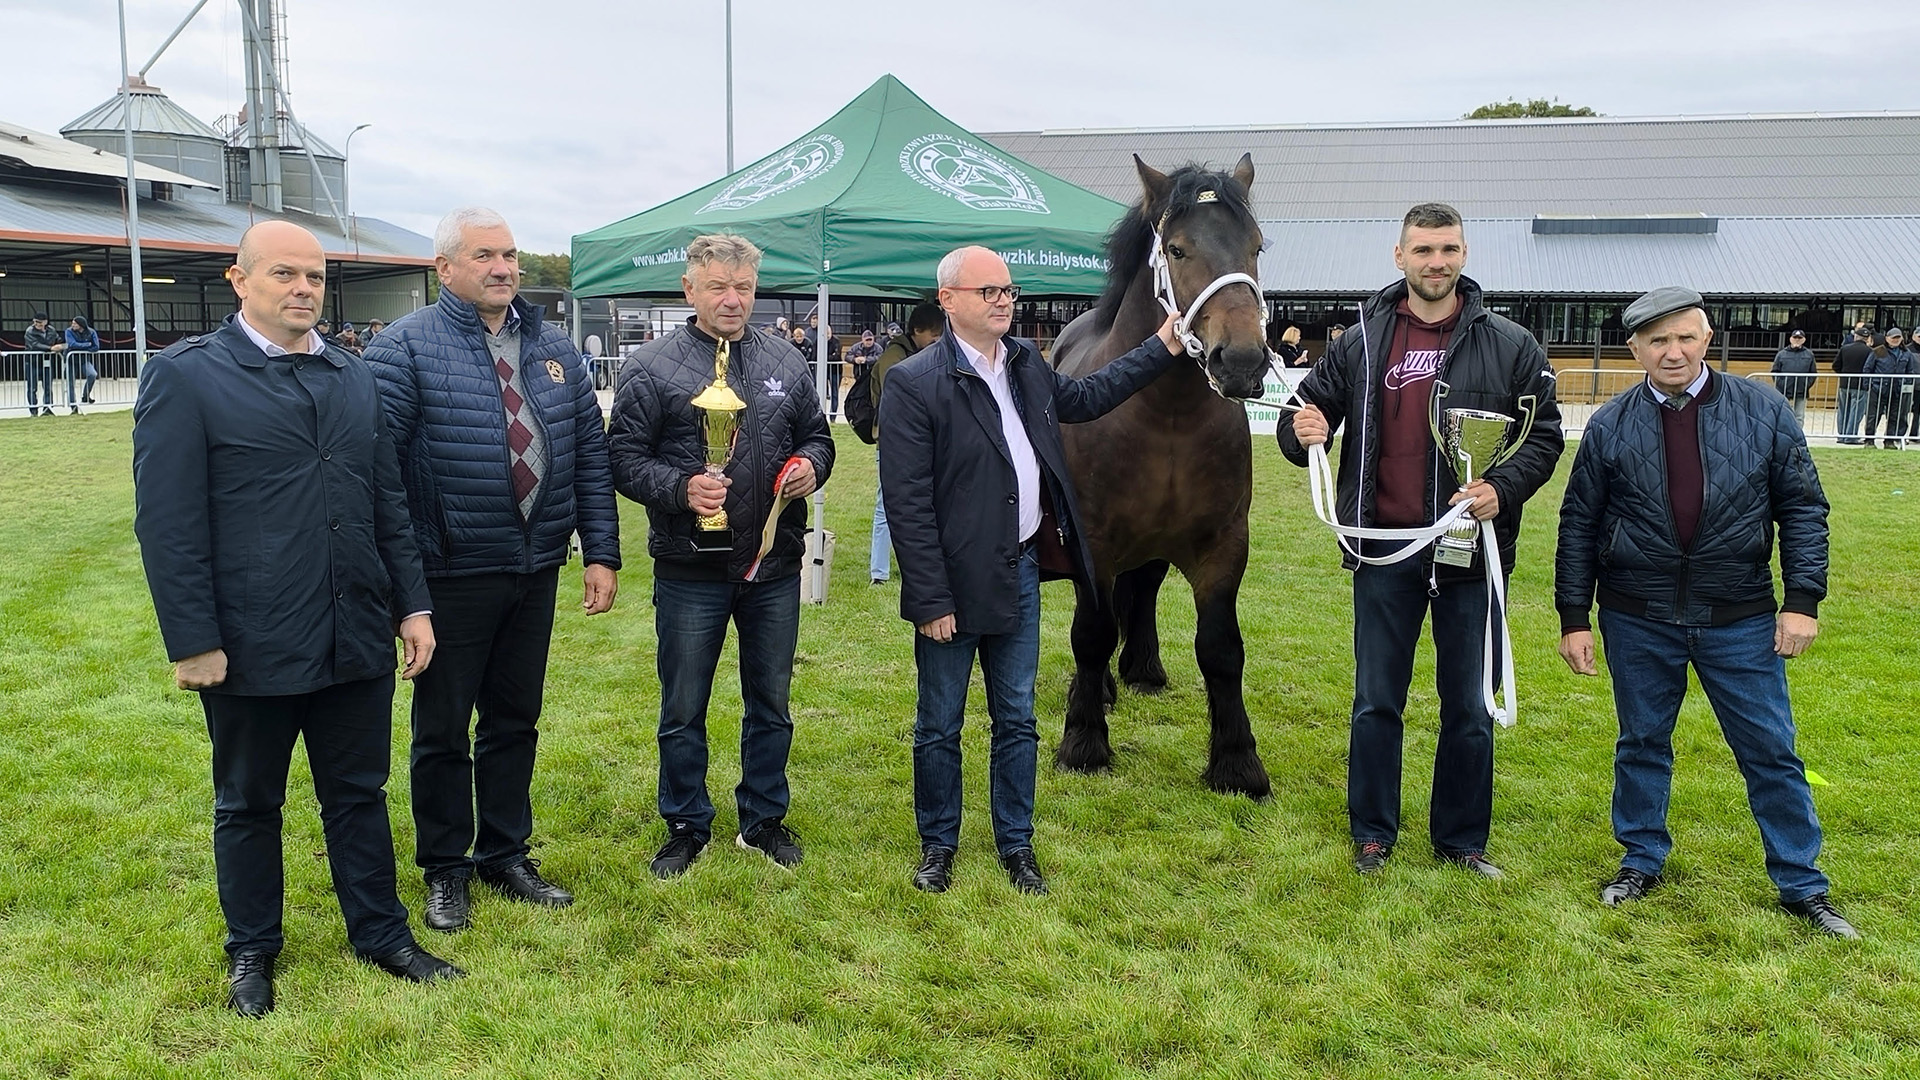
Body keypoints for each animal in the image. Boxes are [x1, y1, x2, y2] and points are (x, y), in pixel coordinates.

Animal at [1052, 155, 1274, 795]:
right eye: (1177, 249)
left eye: (1256, 245)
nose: (1242, 360)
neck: (1167, 416)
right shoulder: (1093, 544)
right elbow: (1091, 632)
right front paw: (1084, 743)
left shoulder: (1224, 545)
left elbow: (1222, 648)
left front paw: (1237, 763)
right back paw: (1100, 686)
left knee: (1145, 588)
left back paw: (1143, 669)